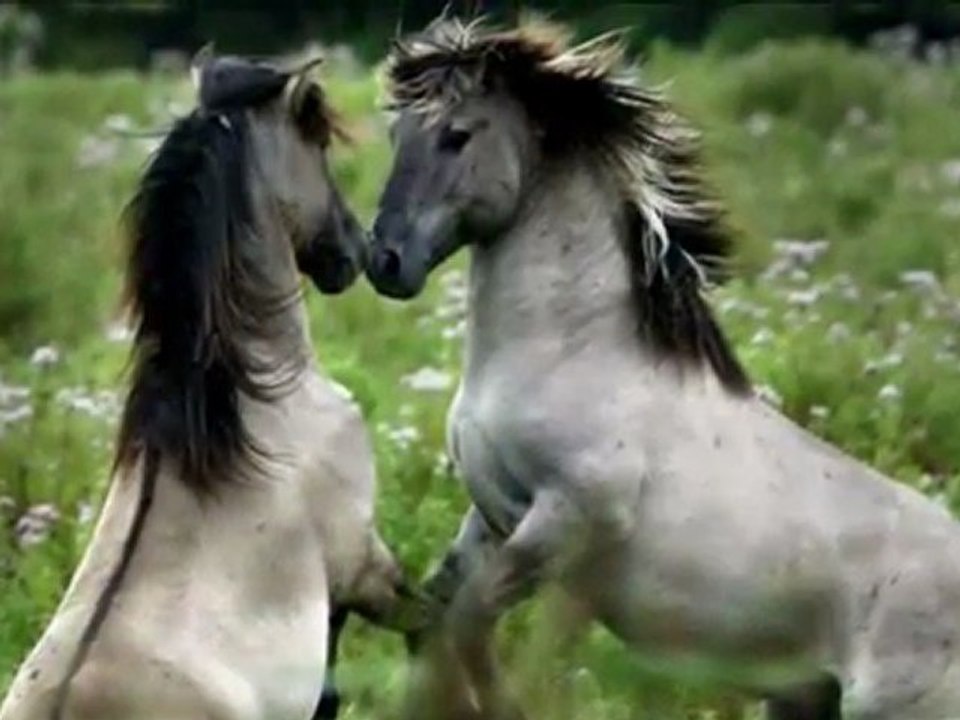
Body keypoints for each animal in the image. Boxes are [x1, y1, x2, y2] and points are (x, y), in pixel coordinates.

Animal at [365, 17, 960, 720]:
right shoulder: (492, 513)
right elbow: (429, 619)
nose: (384, 259)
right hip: (802, 699)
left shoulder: (570, 518)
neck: (570, 355)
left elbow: (467, 623)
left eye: (457, 135)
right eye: (397, 134)